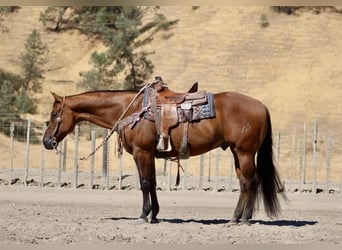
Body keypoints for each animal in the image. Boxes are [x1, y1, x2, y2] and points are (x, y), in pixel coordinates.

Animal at [44, 78, 288, 225]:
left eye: (54, 115)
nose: (47, 141)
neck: (132, 110)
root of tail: (262, 106)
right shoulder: (149, 155)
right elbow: (152, 183)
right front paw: (155, 215)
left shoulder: (141, 152)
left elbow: (144, 183)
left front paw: (143, 215)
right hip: (237, 153)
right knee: (244, 183)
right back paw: (235, 218)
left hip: (245, 153)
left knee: (251, 182)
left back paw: (245, 219)